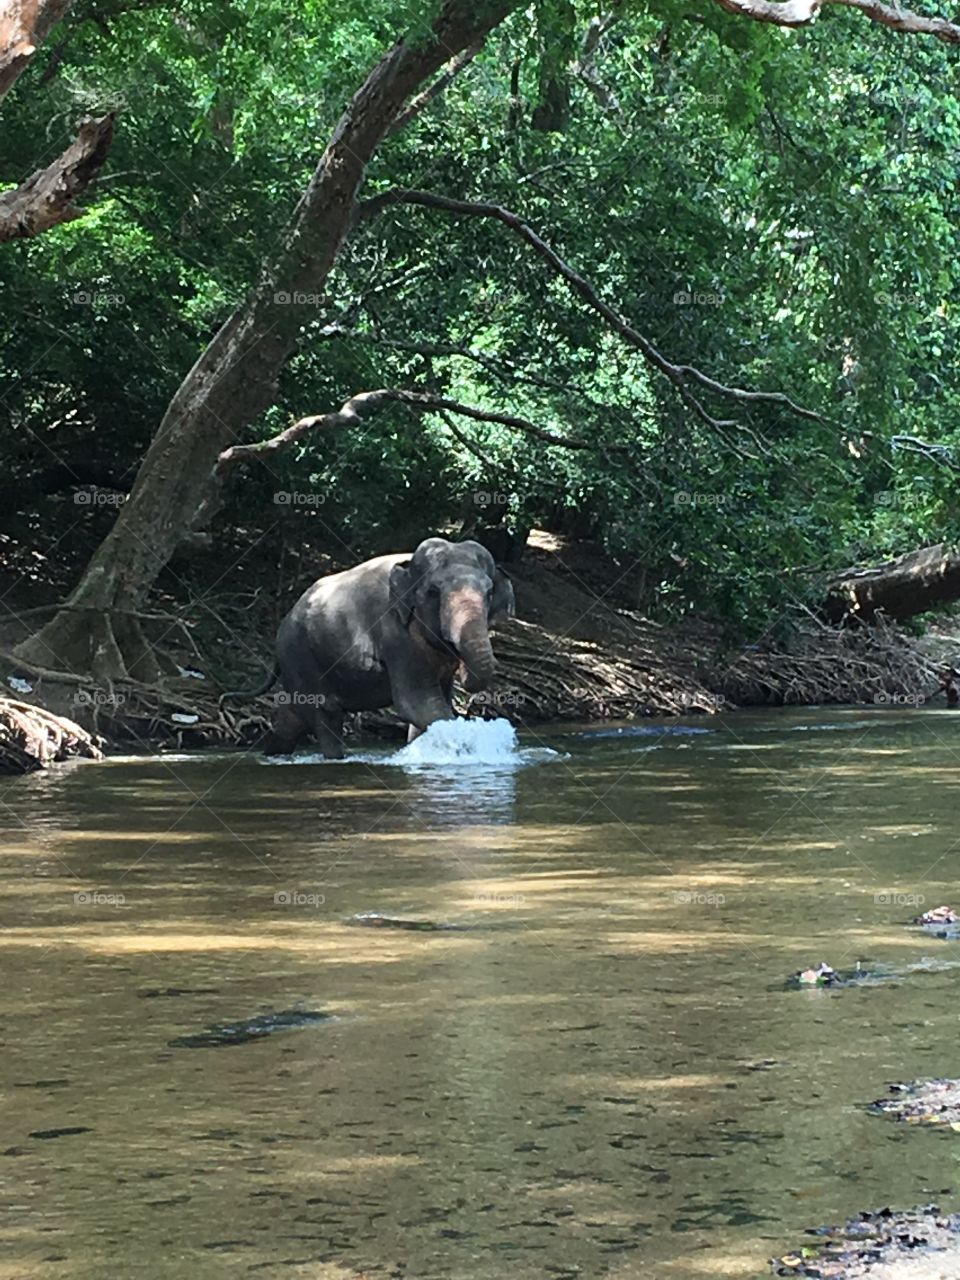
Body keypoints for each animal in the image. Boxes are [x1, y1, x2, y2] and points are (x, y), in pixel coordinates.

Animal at [224, 538, 515, 758]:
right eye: (433, 592)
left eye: (489, 593)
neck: (409, 565)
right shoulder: (395, 634)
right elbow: (416, 702)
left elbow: (433, 703)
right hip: (300, 656)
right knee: (325, 716)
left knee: (291, 717)